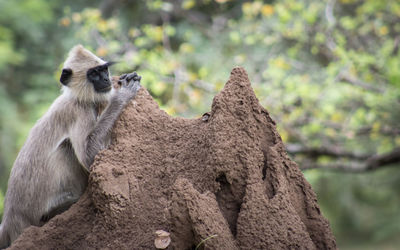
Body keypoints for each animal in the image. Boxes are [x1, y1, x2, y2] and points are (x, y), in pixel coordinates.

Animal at [0, 45, 141, 248]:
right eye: (94, 74)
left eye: (104, 70)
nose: (106, 80)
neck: (76, 96)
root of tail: (10, 221)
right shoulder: (79, 110)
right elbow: (90, 157)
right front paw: (121, 95)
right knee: (65, 148)